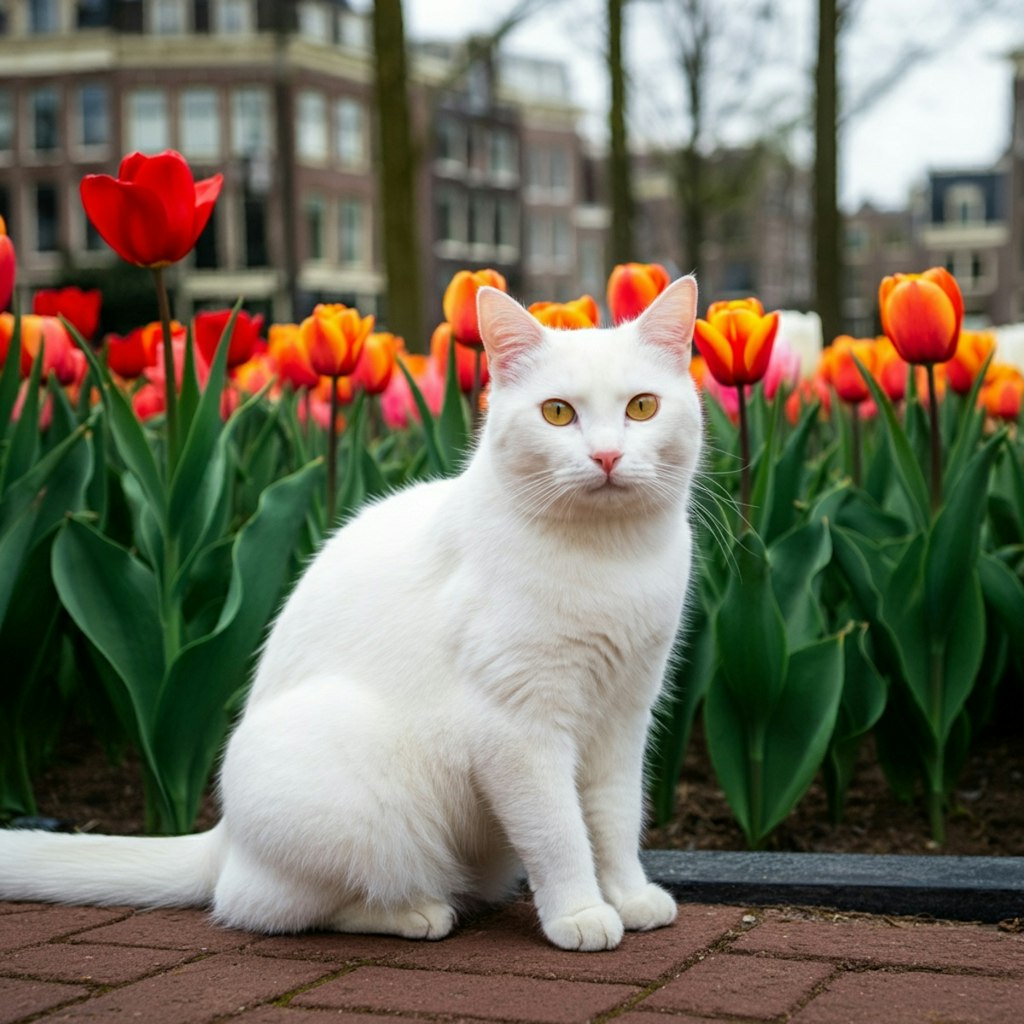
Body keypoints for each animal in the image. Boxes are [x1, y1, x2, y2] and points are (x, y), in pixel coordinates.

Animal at [0, 274, 704, 950]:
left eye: (642, 407)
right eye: (558, 413)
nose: (607, 456)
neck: (607, 559)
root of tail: (224, 837)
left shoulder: (623, 718)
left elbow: (614, 820)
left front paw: (628, 897)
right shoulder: (520, 730)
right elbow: (559, 832)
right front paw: (580, 913)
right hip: (365, 786)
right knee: (264, 904)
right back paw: (415, 913)